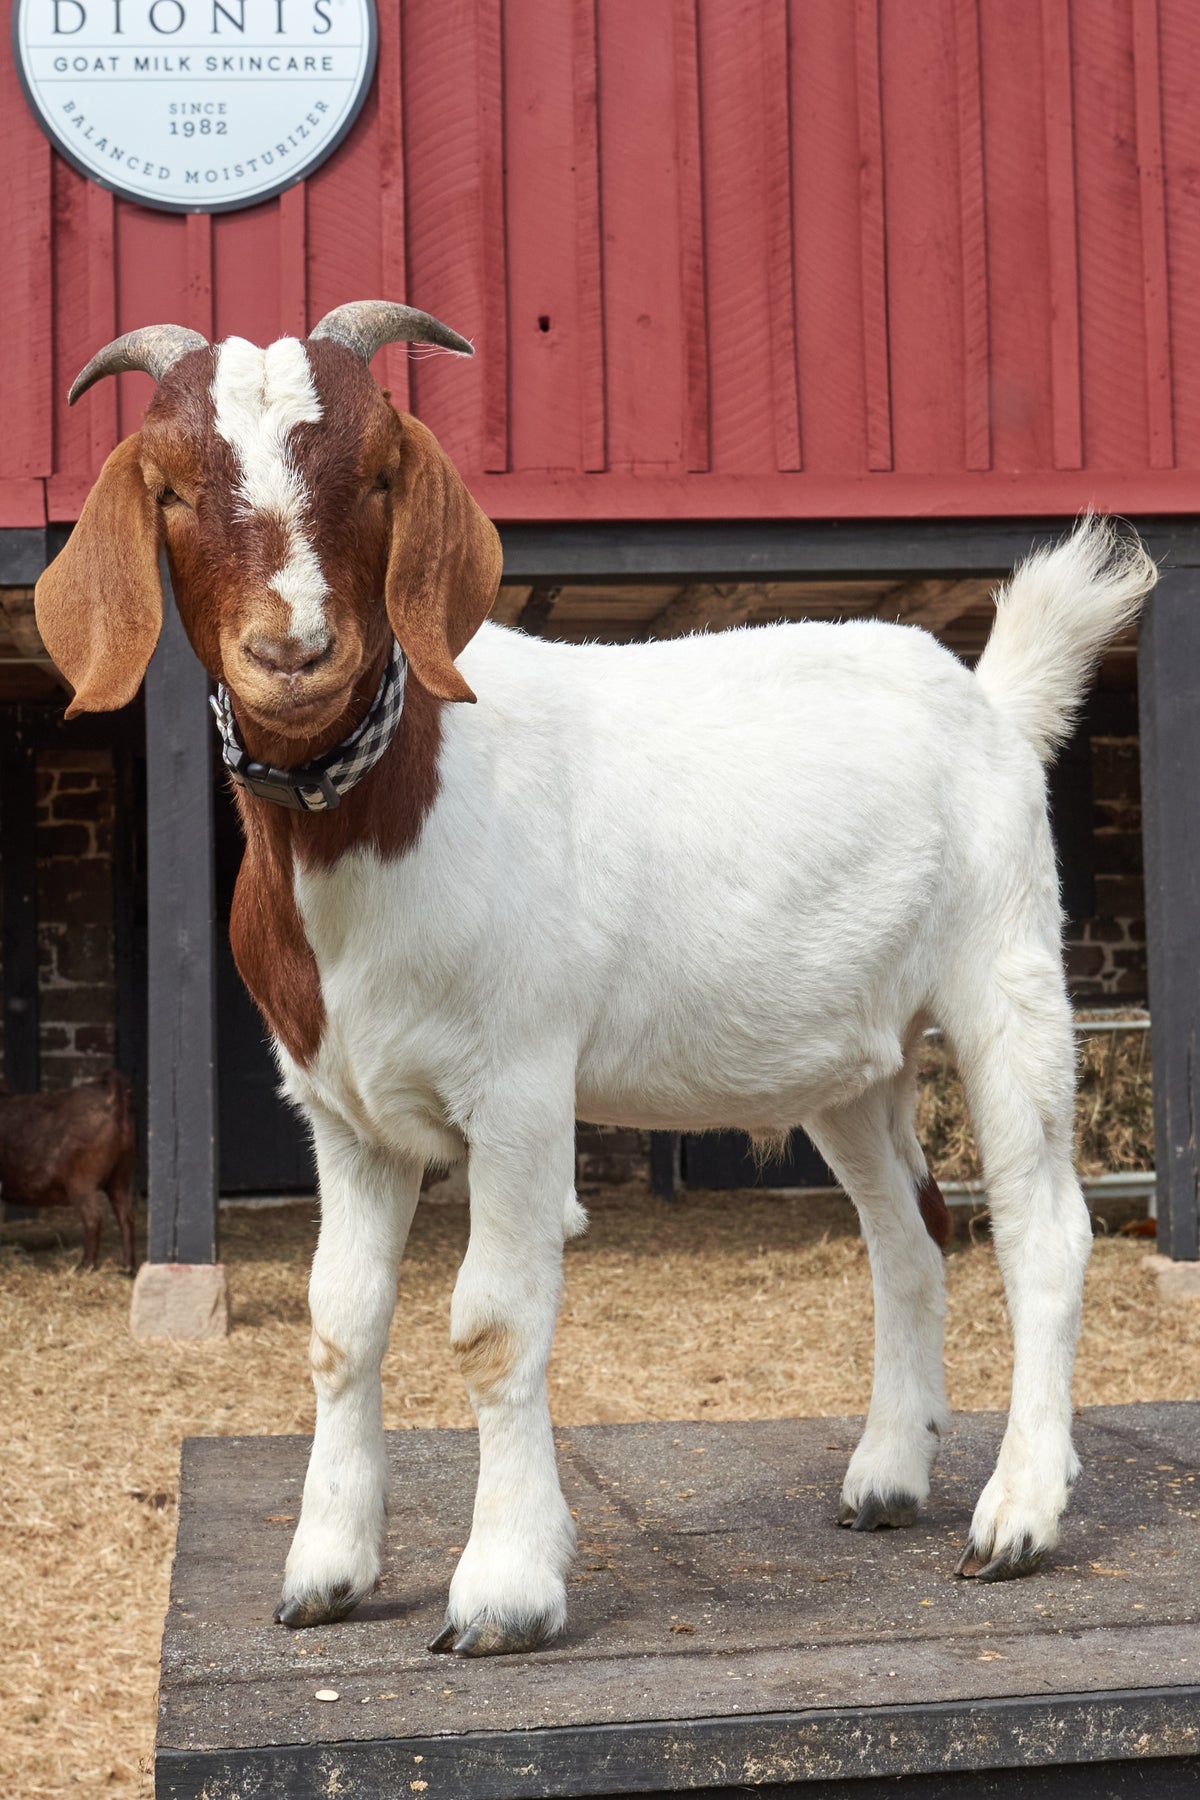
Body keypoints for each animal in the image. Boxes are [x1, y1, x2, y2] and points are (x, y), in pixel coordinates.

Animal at [0, 1071, 136, 1273]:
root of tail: (112, 1101)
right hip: (121, 1174)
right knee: (126, 1218)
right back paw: (127, 1268)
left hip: (82, 1180)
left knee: (94, 1218)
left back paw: (83, 1267)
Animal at [35, 307, 1157, 1656]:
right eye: (170, 486)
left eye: (378, 472)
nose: (293, 650)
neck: (383, 807)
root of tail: (992, 698)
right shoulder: (343, 1112)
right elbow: (338, 1326)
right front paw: (325, 1571)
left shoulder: (518, 1084)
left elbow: (492, 1322)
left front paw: (505, 1589)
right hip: (851, 1061)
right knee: (908, 1234)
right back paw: (888, 1477)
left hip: (1008, 976)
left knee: (1043, 1229)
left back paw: (1018, 1516)